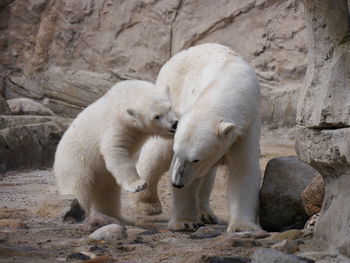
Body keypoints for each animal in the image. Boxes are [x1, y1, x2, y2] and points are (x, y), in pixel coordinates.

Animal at [135, 42, 262, 232]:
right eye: (178, 152)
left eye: (195, 159)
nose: (176, 183)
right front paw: (185, 222)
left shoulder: (247, 125)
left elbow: (243, 168)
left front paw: (242, 227)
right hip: (170, 94)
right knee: (157, 152)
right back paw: (147, 204)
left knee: (207, 174)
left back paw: (206, 214)